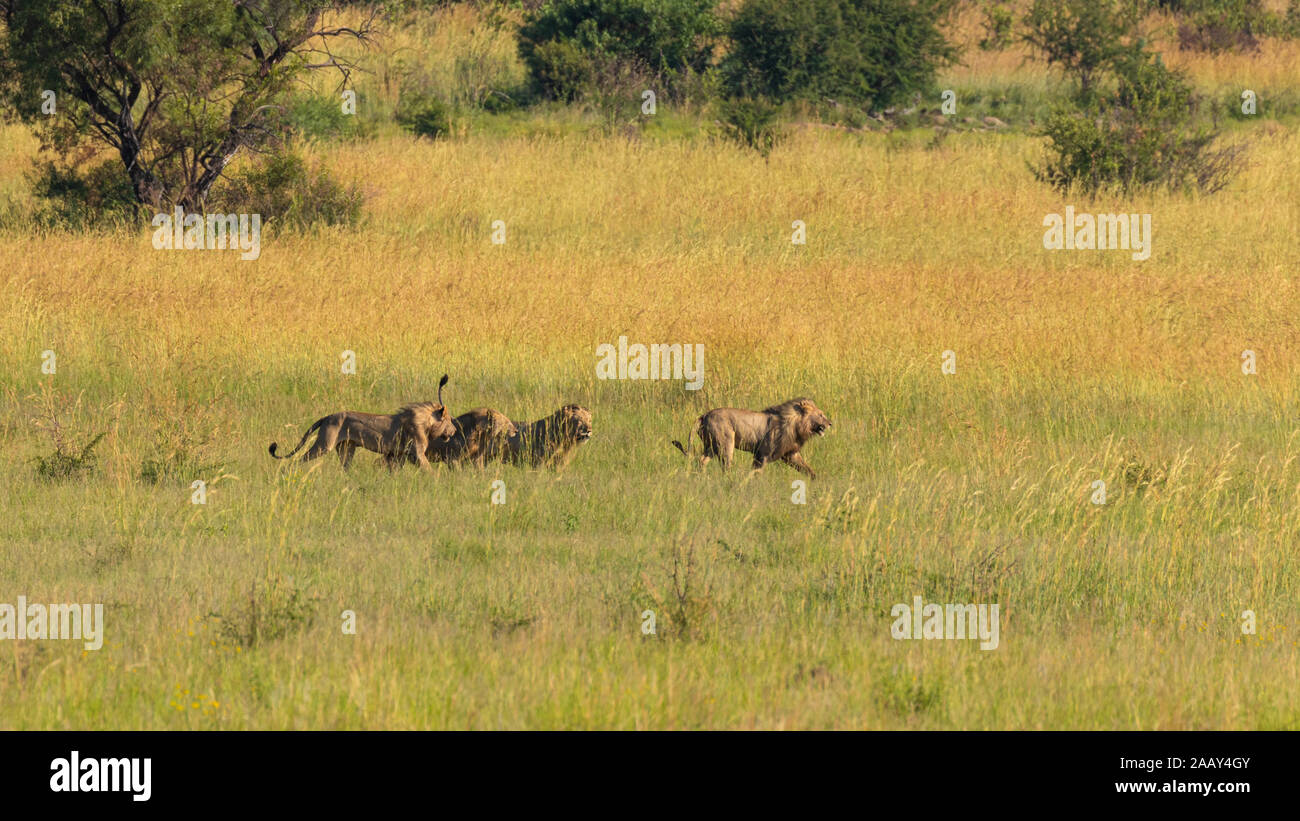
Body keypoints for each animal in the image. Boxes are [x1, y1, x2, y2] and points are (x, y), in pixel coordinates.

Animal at [269, 374, 457, 470]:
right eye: (449, 420)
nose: (455, 430)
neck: (427, 423)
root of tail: (328, 416)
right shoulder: (417, 453)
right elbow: (429, 472)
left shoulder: (397, 454)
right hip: (324, 445)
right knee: (298, 460)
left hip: (346, 448)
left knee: (345, 468)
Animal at [670, 400, 832, 478]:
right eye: (821, 415)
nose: (830, 423)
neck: (798, 425)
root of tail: (704, 415)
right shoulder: (763, 453)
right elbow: (756, 472)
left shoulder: (791, 454)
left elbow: (807, 469)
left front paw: (816, 482)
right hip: (726, 443)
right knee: (725, 466)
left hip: (711, 446)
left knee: (701, 460)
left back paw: (701, 477)